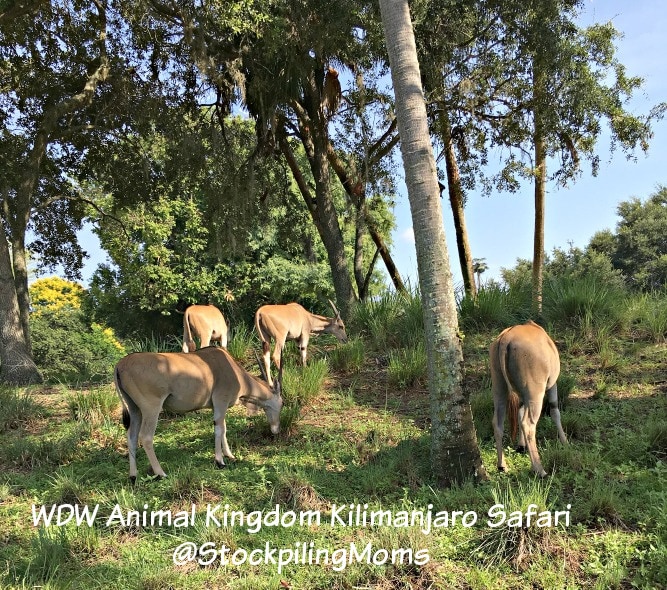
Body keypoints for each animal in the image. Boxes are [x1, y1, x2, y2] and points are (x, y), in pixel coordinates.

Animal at [115, 350, 282, 484]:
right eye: (282, 403)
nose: (276, 429)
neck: (235, 371)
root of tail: (120, 365)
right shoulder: (220, 401)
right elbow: (219, 429)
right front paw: (220, 461)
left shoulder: (218, 406)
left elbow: (223, 428)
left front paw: (229, 455)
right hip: (151, 408)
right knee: (146, 437)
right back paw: (161, 473)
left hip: (135, 409)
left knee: (131, 436)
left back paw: (133, 476)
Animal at [490, 322, 568, 478]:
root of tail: (505, 338)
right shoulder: (552, 385)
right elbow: (555, 411)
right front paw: (564, 441)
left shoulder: (522, 396)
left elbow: (519, 413)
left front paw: (521, 445)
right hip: (535, 394)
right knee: (529, 424)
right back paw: (539, 470)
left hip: (499, 388)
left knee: (498, 423)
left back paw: (502, 465)